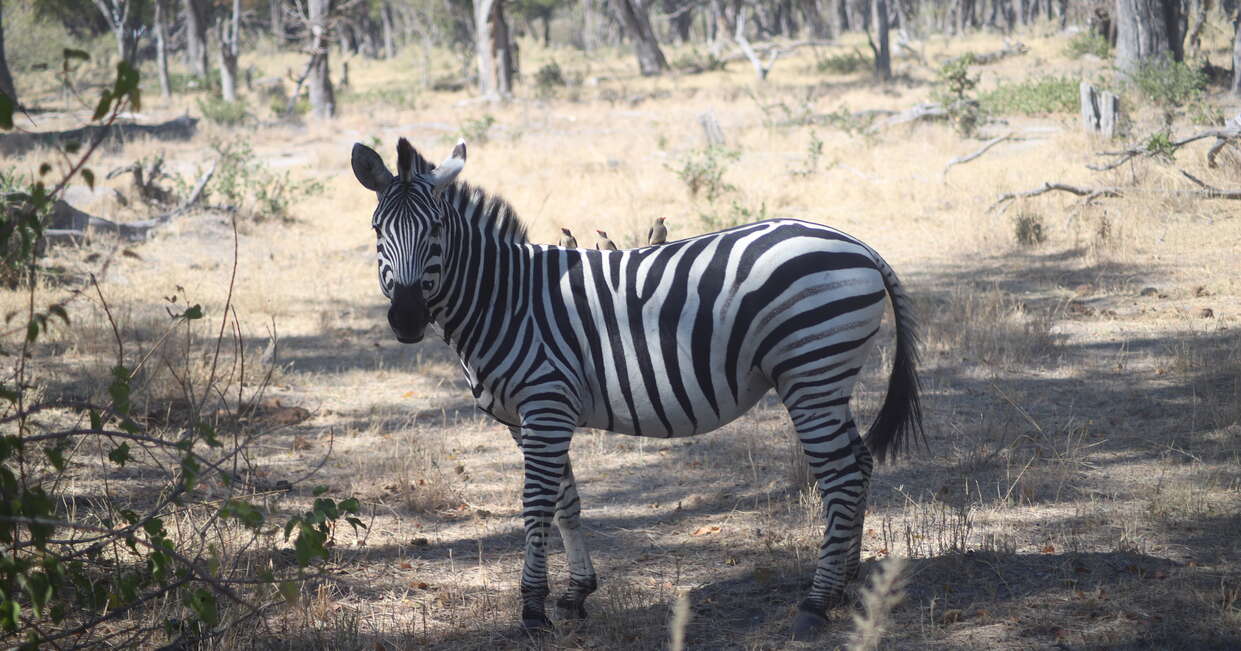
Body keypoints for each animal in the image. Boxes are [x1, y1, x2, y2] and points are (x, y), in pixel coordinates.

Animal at [350, 138, 923, 640]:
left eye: (437, 230)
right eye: (377, 230)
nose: (406, 319)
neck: (505, 300)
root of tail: (856, 243)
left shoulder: (545, 405)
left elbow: (536, 505)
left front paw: (533, 611)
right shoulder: (530, 418)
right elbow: (566, 502)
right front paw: (576, 594)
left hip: (810, 371)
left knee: (840, 476)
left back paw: (815, 604)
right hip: (826, 379)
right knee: (858, 462)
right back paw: (846, 584)